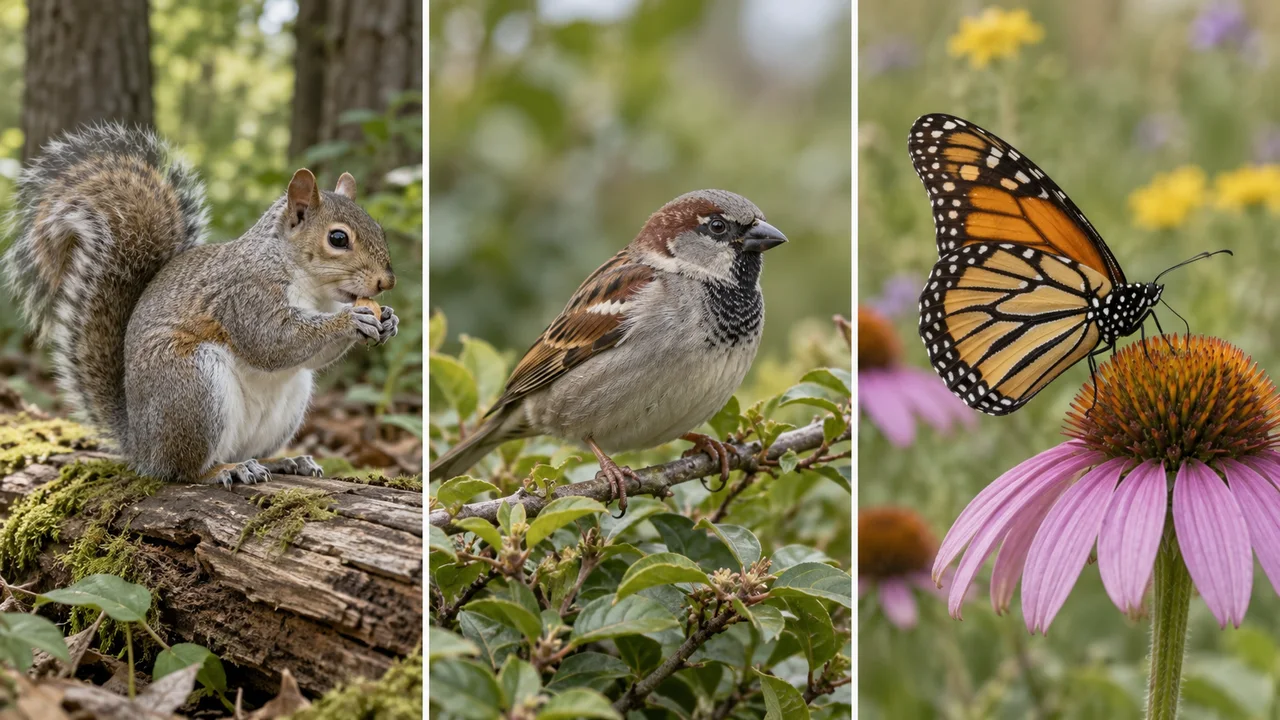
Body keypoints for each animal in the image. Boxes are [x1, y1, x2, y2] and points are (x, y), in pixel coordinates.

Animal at [2, 123, 400, 486]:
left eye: (379, 229)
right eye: (338, 239)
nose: (386, 282)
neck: (309, 284)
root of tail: (140, 446)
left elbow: (310, 355)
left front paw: (388, 320)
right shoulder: (245, 295)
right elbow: (272, 342)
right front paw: (351, 320)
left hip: (285, 404)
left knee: (252, 451)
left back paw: (284, 461)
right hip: (193, 388)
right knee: (185, 470)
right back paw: (225, 470)